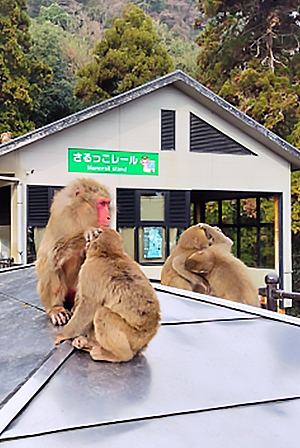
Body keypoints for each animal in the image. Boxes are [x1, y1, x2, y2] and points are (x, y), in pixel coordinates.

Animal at [36, 178, 111, 326]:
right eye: (101, 204)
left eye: (107, 204)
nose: (109, 217)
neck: (79, 214)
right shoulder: (61, 216)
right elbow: (52, 253)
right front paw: (86, 231)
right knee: (49, 264)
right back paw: (55, 308)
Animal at [54, 229, 162, 362]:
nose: (87, 243)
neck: (109, 254)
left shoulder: (88, 271)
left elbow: (87, 308)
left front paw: (61, 335)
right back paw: (89, 344)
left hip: (134, 337)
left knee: (102, 313)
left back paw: (114, 355)